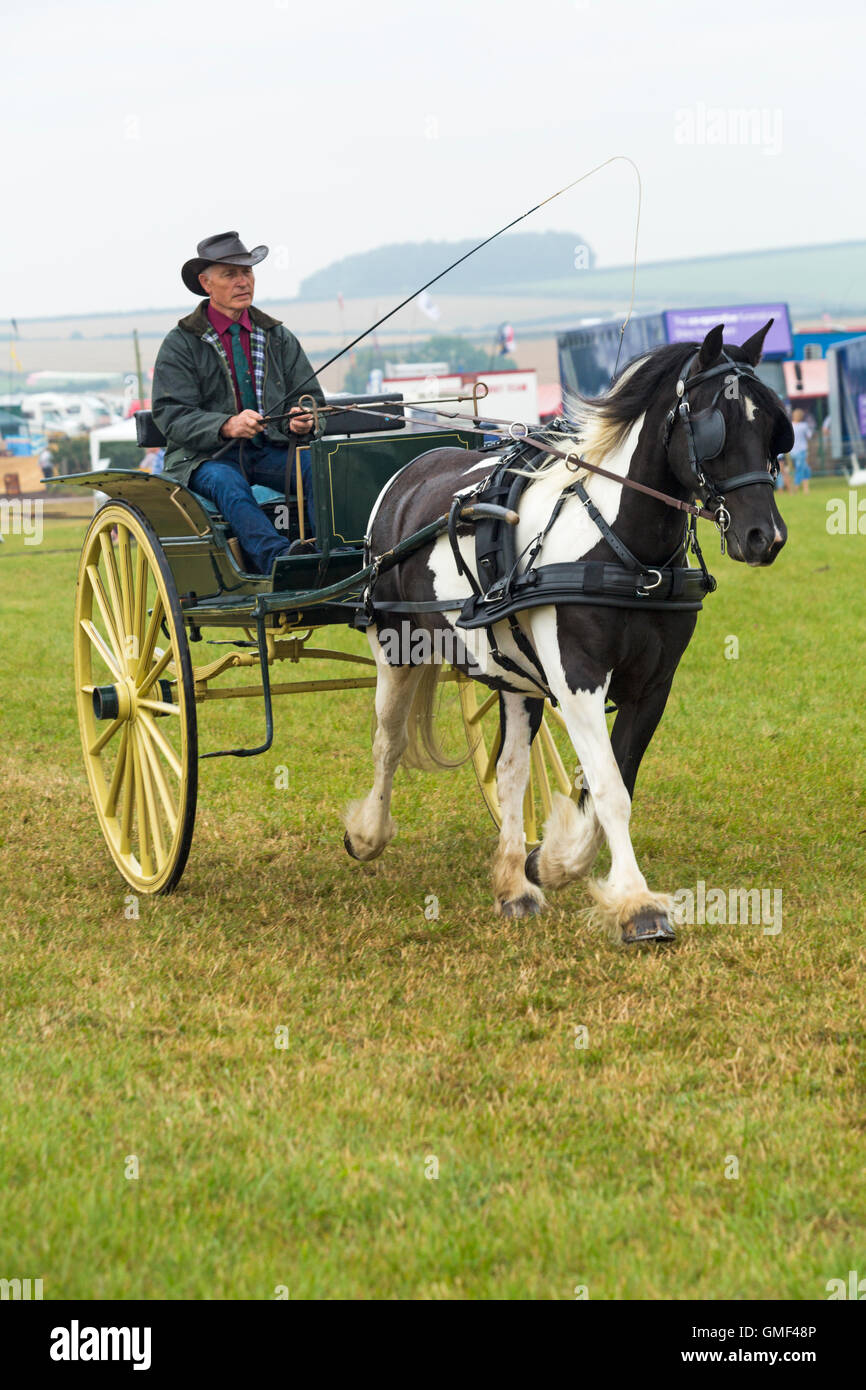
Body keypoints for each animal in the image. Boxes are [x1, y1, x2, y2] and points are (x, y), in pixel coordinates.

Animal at [343, 322, 795, 945]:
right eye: (715, 424)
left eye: (774, 426)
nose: (764, 537)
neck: (623, 547)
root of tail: (412, 469)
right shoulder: (577, 679)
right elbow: (607, 789)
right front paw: (637, 906)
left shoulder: (653, 686)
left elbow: (614, 780)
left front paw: (553, 862)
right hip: (395, 649)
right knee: (387, 740)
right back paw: (368, 834)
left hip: (513, 674)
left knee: (510, 770)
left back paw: (514, 885)